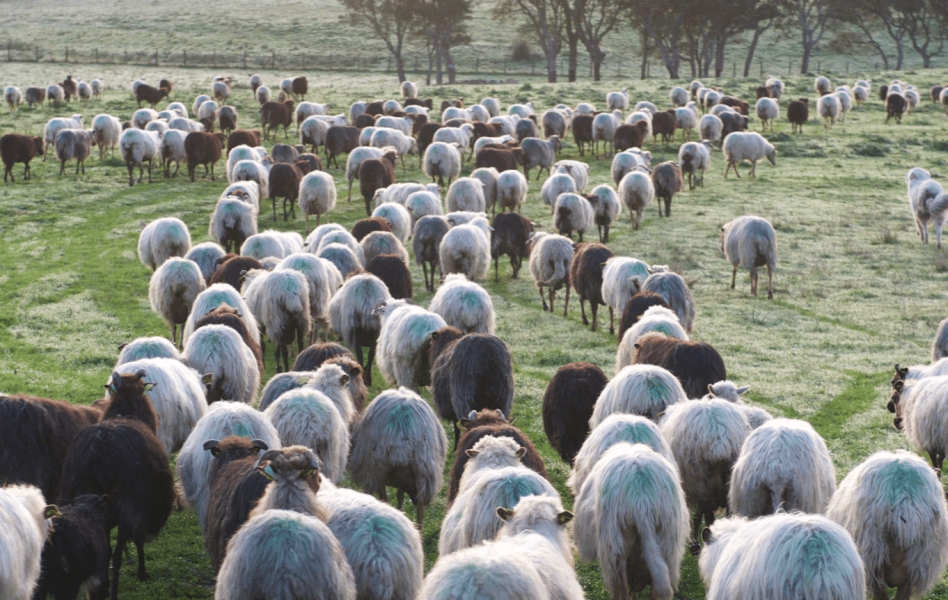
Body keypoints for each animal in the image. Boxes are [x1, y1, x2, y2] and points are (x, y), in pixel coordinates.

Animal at [350, 386, 450, 528]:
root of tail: (402, 431)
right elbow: (400, 495)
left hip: (377, 465)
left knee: (386, 498)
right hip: (423, 467)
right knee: (420, 507)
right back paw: (419, 530)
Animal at [664, 398, 752, 548]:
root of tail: (719, 441)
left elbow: (698, 515)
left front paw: (693, 541)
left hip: (700, 480)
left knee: (708, 515)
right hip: (729, 483)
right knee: (726, 514)